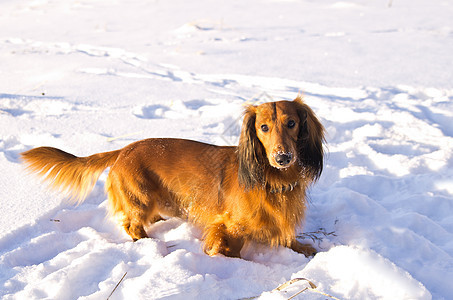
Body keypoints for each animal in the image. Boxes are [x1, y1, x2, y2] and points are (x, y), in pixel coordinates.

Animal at [21, 96, 324, 258]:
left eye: (292, 123)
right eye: (263, 127)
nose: (283, 157)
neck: (272, 181)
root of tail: (123, 150)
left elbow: (288, 238)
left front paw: (304, 249)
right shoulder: (228, 227)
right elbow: (233, 249)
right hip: (140, 198)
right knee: (132, 226)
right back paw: (150, 244)